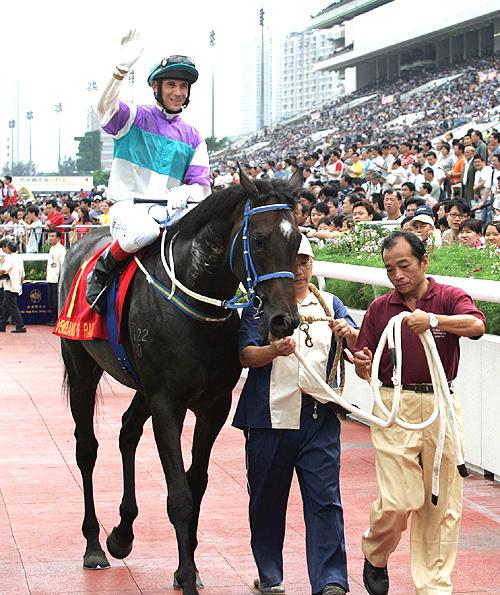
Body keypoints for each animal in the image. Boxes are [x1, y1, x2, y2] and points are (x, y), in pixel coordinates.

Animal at [59, 174, 302, 595]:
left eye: (298, 237)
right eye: (257, 239)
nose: (284, 320)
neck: (196, 303)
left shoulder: (213, 405)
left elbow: (197, 482)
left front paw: (186, 567)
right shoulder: (167, 403)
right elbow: (180, 496)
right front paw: (186, 576)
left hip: (141, 385)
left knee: (127, 431)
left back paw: (122, 534)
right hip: (82, 368)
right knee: (86, 449)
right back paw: (94, 545)